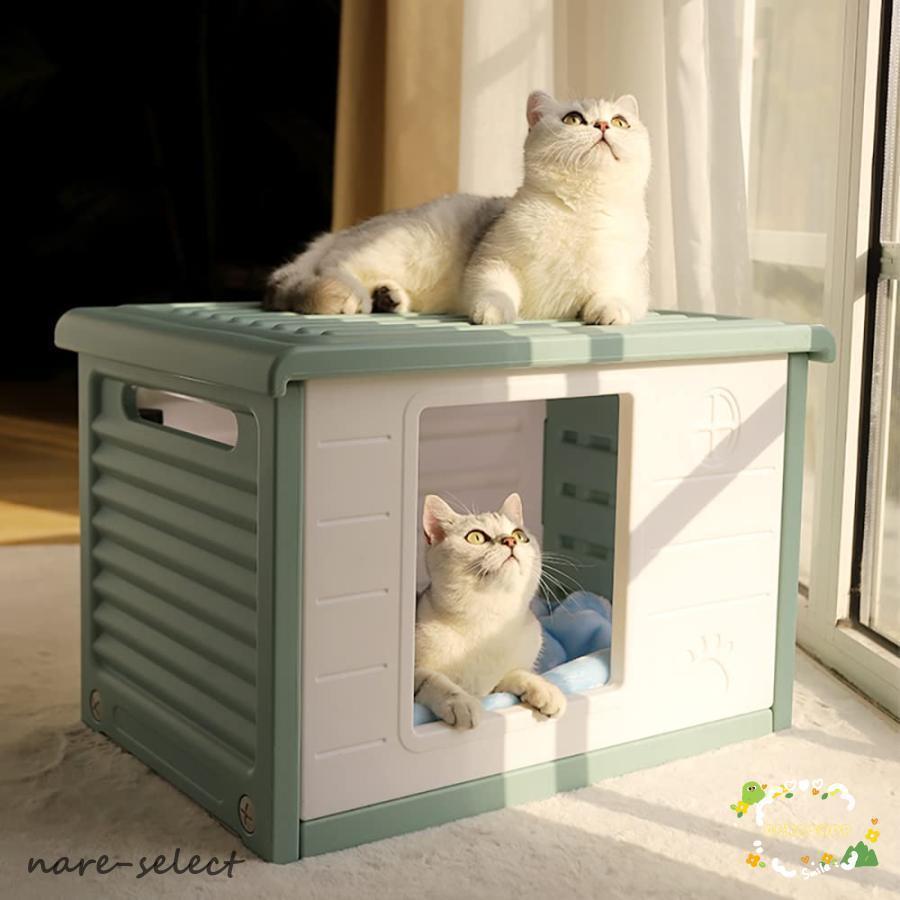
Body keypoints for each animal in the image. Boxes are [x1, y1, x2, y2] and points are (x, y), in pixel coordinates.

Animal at [264, 91, 651, 325]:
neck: (580, 211)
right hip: (400, 244)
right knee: (334, 266)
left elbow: (617, 295)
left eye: (620, 122)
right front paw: (493, 311)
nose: (602, 125)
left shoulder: (627, 277)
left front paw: (610, 311)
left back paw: (387, 297)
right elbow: (496, 288)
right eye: (572, 119)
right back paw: (354, 295)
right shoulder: (492, 260)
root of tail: (338, 234)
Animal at [414, 493, 566, 729]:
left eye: (519, 535)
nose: (510, 541)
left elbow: (515, 673)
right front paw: (461, 702)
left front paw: (545, 688)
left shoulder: (494, 684)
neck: (489, 619)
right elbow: (430, 679)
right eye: (475, 537)